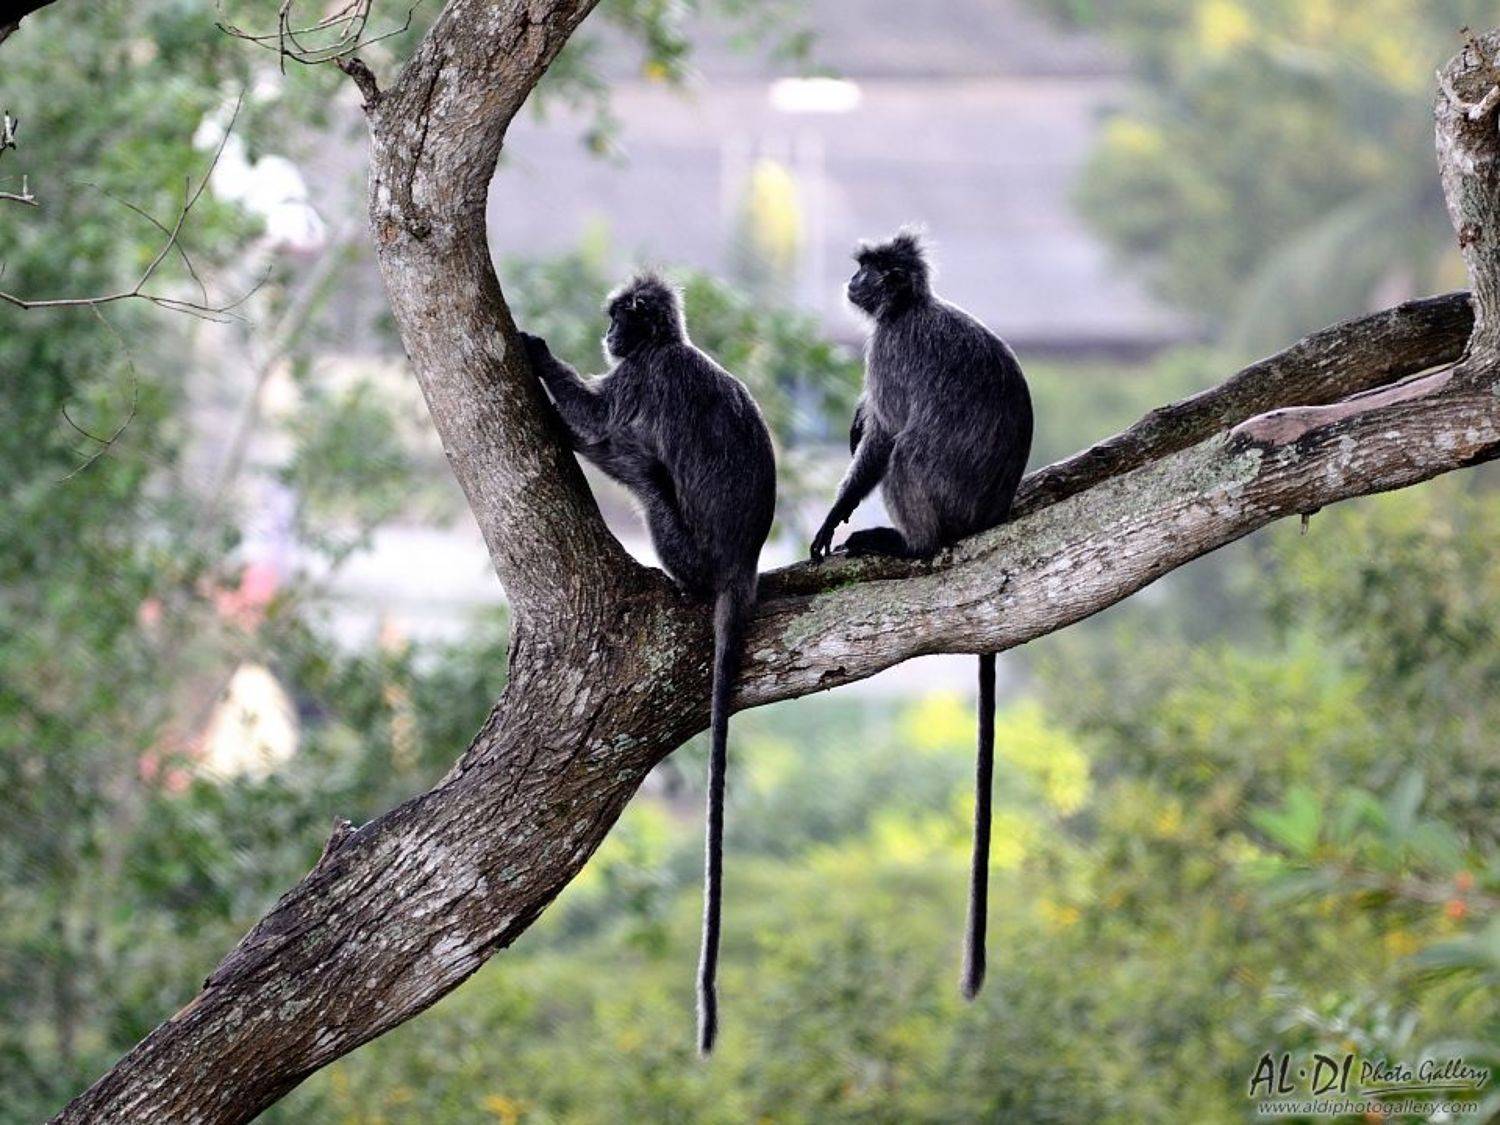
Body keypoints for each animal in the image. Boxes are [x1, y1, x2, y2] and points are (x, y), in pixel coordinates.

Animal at [519, 273, 776, 1055]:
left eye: (616, 319)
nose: (605, 335)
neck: (669, 348)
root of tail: (738, 571)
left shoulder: (642, 381)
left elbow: (603, 416)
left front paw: (537, 351)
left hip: (684, 544)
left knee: (637, 464)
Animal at [809, 230, 1032, 1001]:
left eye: (872, 269)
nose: (851, 282)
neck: (910, 309)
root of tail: (985, 515)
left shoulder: (890, 352)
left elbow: (879, 437)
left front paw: (832, 518)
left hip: (940, 496)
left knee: (903, 449)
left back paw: (909, 544)